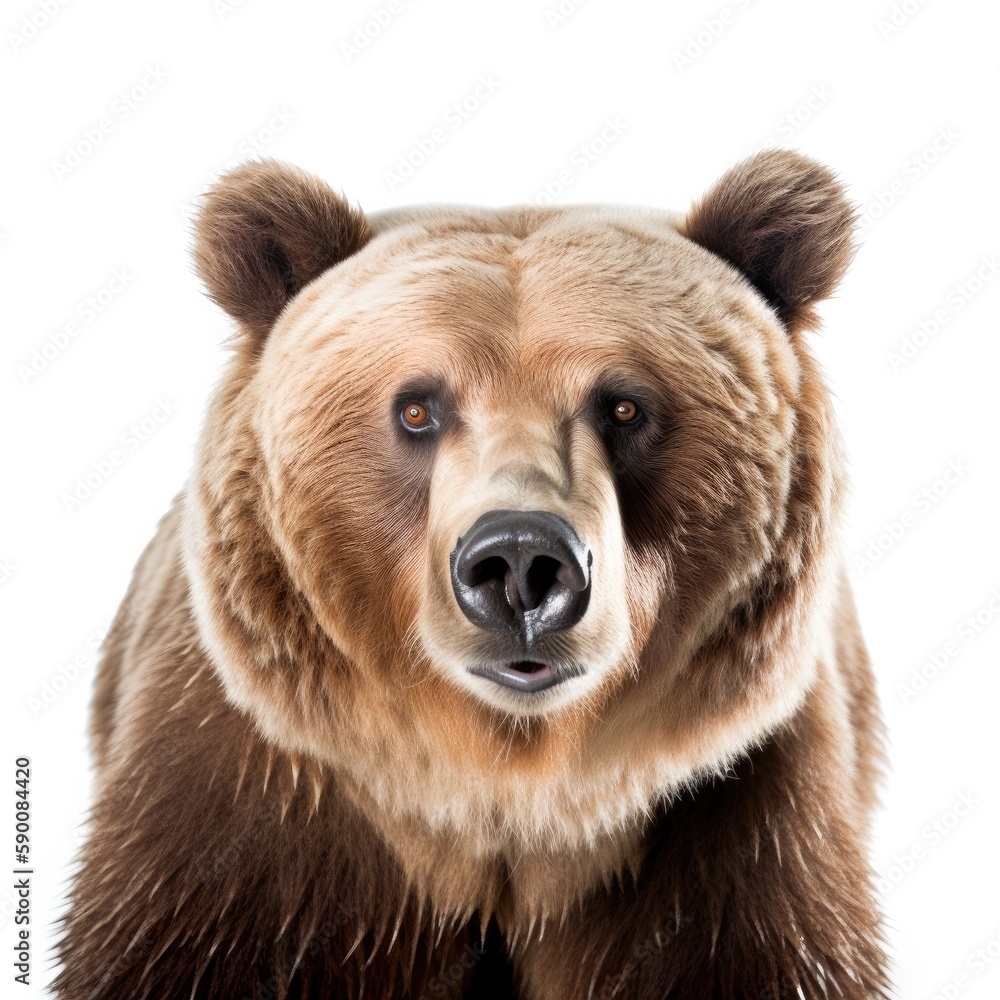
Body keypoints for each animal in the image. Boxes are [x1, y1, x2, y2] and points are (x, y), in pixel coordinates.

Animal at [55, 150, 889, 999]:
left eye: (624, 407)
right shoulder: (255, 811)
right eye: (417, 409)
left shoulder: (735, 834)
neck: (499, 792)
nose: (519, 562)